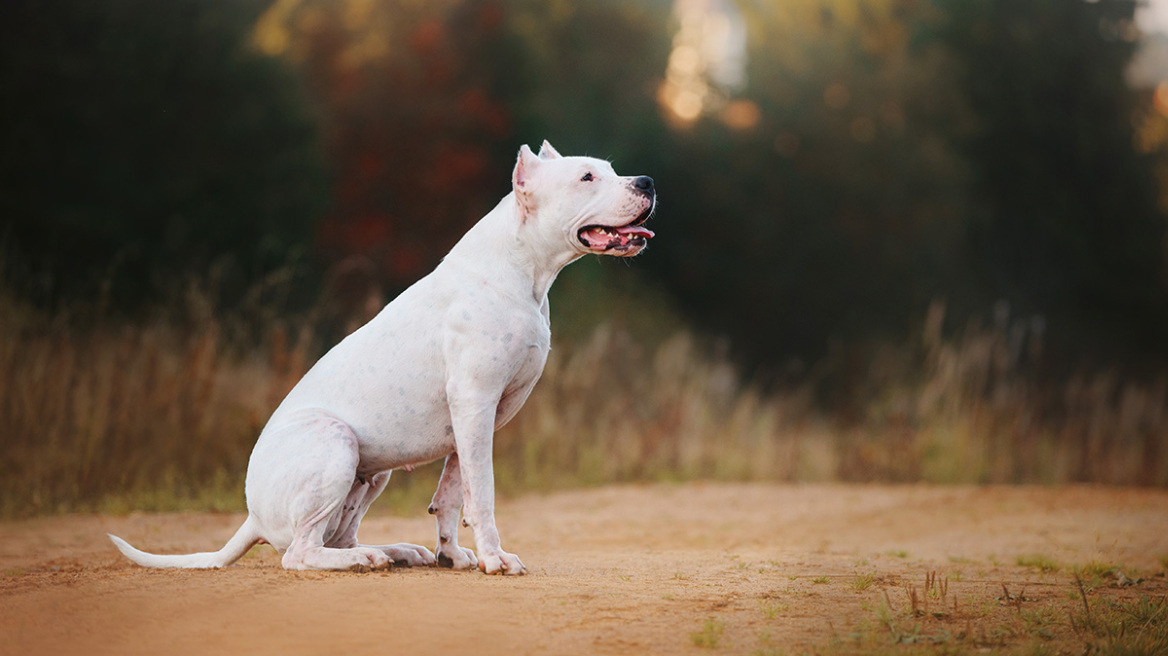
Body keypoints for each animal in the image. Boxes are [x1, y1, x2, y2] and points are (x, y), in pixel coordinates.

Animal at [107, 141, 658, 571]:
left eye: (610, 169)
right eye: (587, 177)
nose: (648, 181)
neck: (524, 271)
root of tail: (252, 517)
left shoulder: (472, 418)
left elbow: (452, 493)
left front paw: (454, 556)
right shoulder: (475, 404)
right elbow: (482, 492)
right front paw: (494, 558)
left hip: (371, 475)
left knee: (336, 535)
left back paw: (393, 551)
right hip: (336, 444)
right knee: (301, 553)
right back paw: (364, 559)